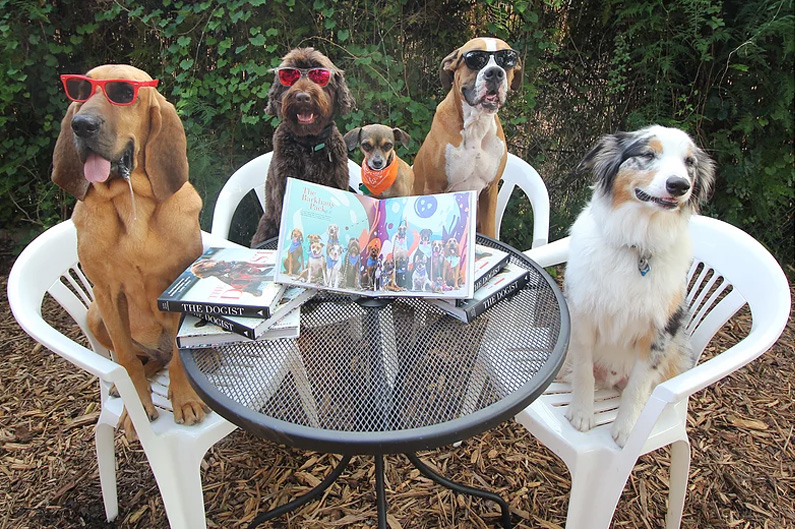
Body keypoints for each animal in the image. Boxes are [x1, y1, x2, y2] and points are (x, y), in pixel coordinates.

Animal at [253, 47, 356, 245]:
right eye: (289, 76)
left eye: (319, 75)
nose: (302, 97)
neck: (309, 144)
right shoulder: (283, 190)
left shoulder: (338, 182)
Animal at [414, 39, 524, 239]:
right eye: (475, 59)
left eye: (507, 60)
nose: (494, 72)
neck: (476, 125)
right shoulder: (434, 187)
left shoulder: (490, 190)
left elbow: (490, 231)